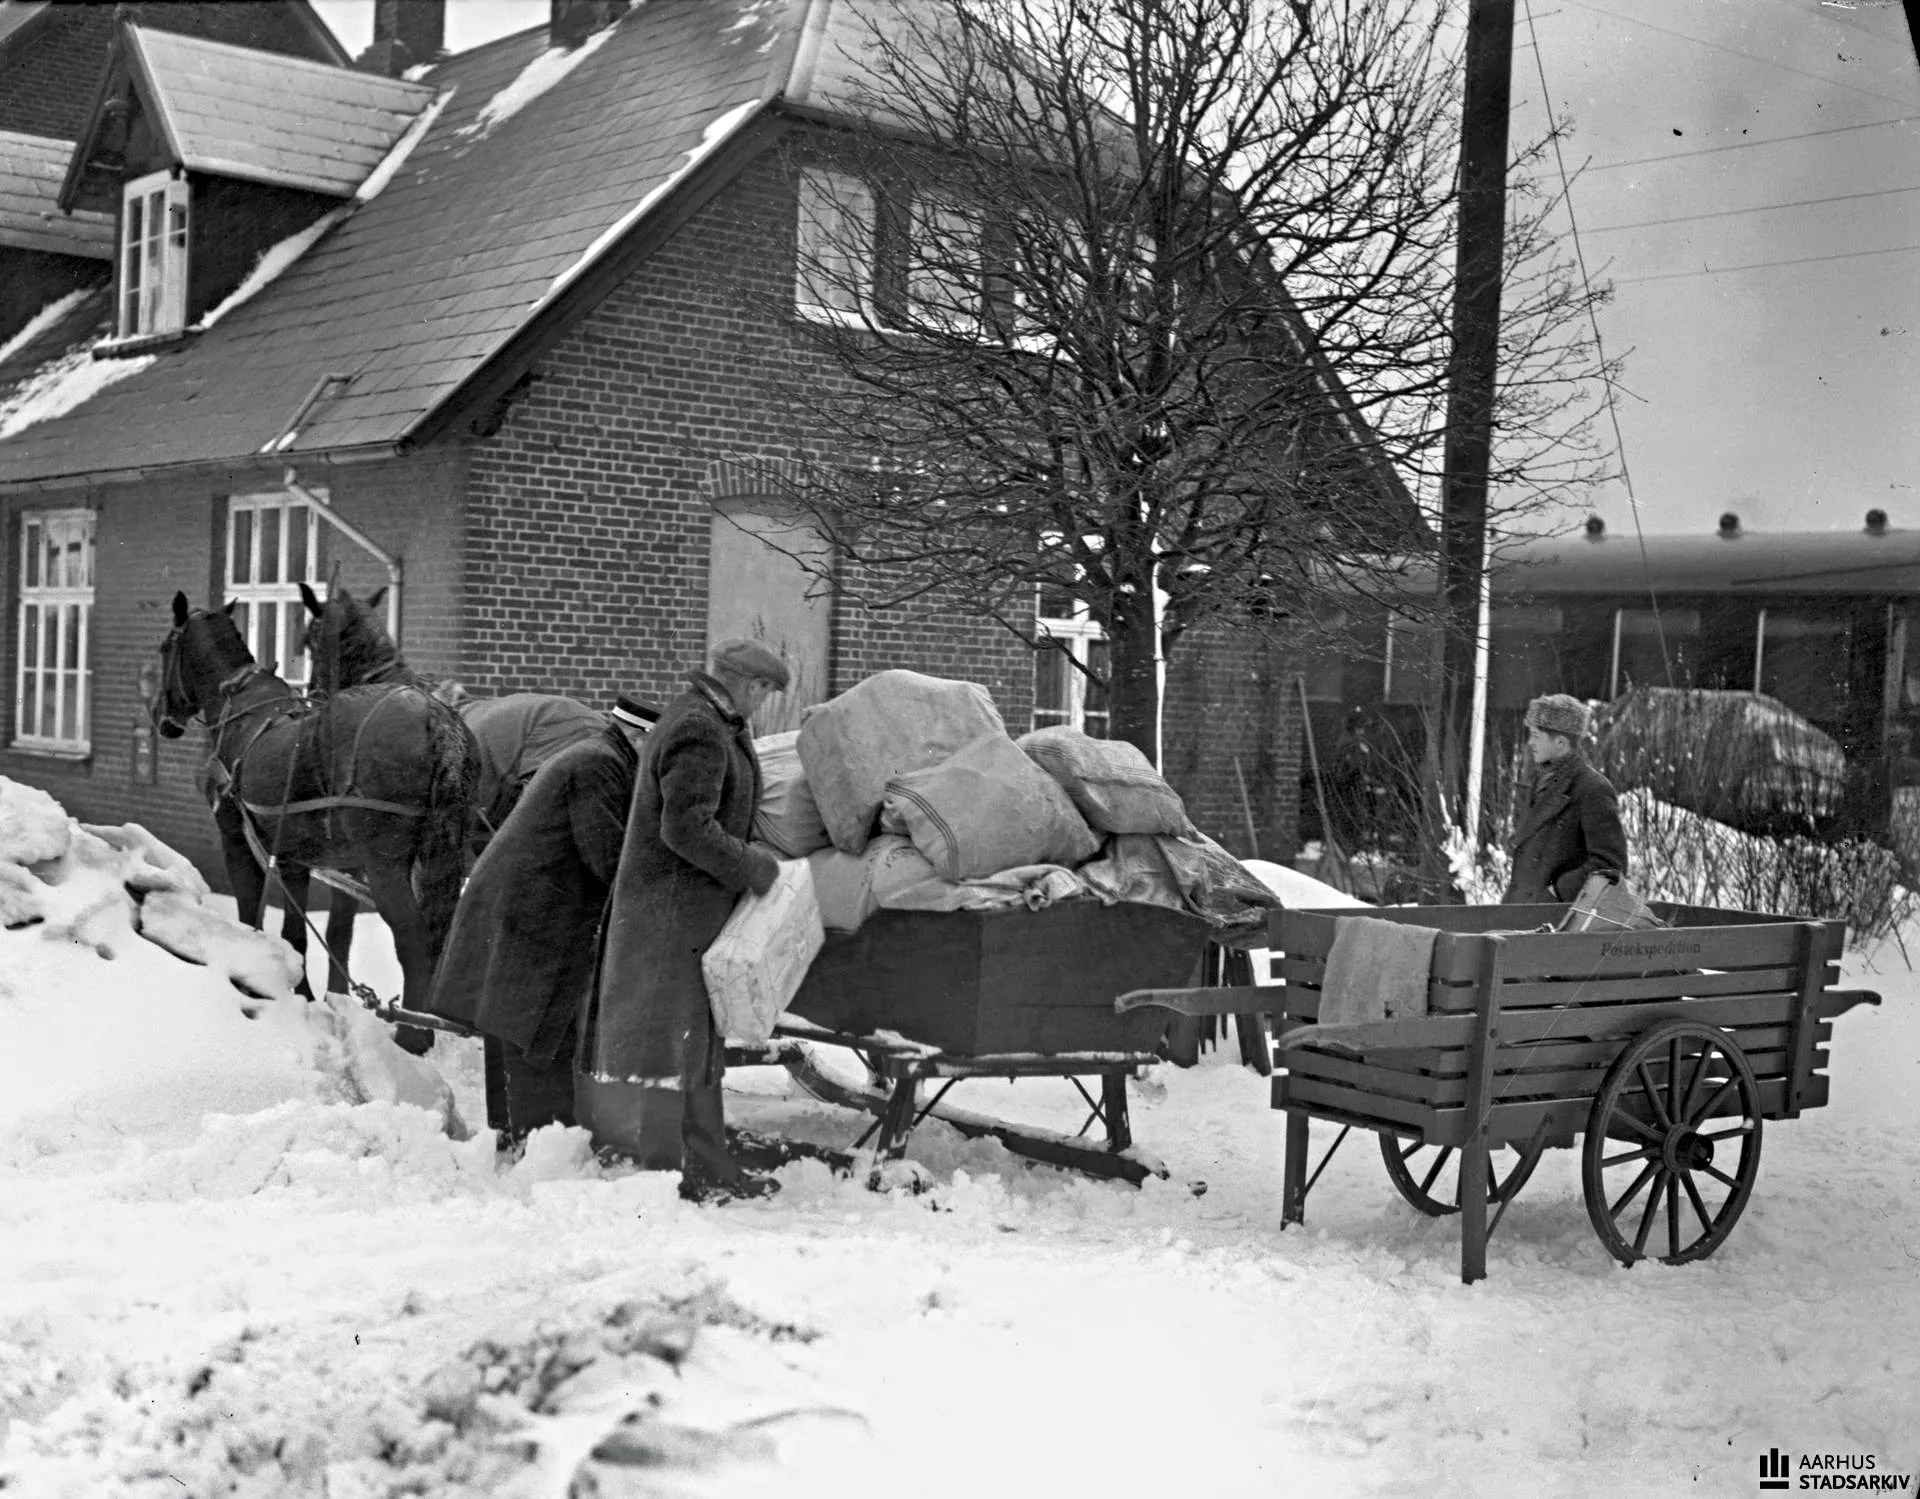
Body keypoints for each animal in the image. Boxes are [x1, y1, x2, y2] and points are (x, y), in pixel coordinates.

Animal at [156, 591, 480, 1044]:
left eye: (164, 648)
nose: (163, 718)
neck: (240, 706)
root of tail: (437, 721)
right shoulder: (298, 859)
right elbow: (301, 934)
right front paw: (306, 996)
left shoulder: (236, 840)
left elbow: (250, 914)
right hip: (440, 853)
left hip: (385, 866)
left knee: (413, 940)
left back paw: (413, 1036)